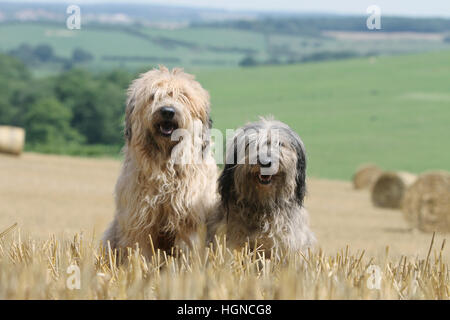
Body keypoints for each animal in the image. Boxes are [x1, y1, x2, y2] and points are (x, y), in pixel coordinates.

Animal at [104, 66, 220, 258]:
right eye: (153, 96)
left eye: (182, 96)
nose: (167, 111)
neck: (166, 166)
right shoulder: (139, 219)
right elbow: (140, 249)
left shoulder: (189, 220)